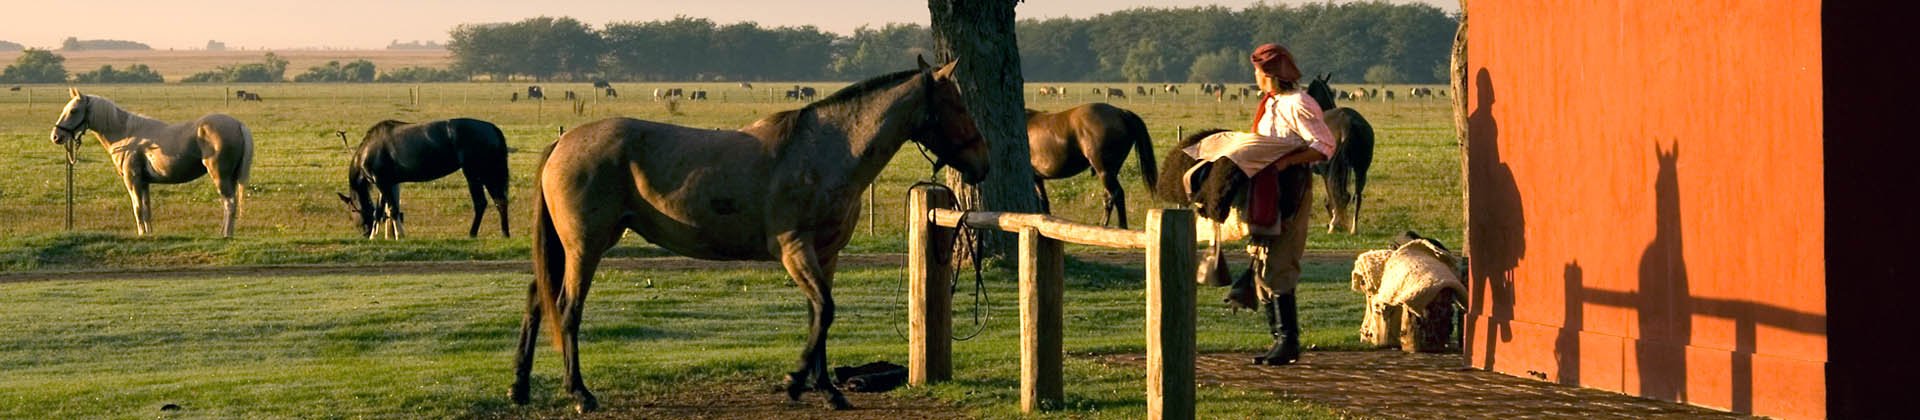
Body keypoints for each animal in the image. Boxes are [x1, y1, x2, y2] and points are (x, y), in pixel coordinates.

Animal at [49, 89, 255, 237]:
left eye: (74, 110)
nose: (56, 137)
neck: (126, 134)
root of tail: (238, 124)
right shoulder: (144, 183)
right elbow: (147, 209)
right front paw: (149, 234)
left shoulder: (132, 181)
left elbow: (137, 208)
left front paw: (141, 234)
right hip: (231, 178)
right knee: (231, 204)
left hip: (220, 176)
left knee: (229, 203)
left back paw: (226, 235)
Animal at [336, 117, 510, 237]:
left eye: (351, 211)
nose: (364, 234)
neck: (368, 150)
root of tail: (491, 128)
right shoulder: (386, 184)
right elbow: (380, 211)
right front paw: (374, 236)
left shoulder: (382, 183)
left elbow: (392, 209)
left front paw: (400, 236)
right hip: (489, 173)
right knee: (500, 201)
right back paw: (504, 234)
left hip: (475, 174)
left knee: (481, 203)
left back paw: (472, 233)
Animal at [514, 58, 990, 414]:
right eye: (957, 104)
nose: (983, 162)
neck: (825, 151)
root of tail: (562, 144)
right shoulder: (795, 250)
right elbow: (825, 310)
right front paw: (795, 381)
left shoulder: (827, 255)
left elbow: (820, 316)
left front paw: (826, 390)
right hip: (585, 247)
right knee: (567, 309)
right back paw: (580, 394)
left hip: (569, 248)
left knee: (537, 299)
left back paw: (520, 388)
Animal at [1021, 103, 1152, 230]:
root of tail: (1121, 113)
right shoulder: (1038, 178)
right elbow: (1044, 201)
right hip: (1111, 172)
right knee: (1109, 197)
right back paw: (1103, 224)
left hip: (1104, 171)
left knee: (1118, 194)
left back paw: (1122, 226)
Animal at [1305, 73, 1382, 234]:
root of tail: (1347, 123)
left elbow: (1330, 199)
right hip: (1360, 169)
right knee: (1356, 196)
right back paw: (1353, 228)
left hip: (1329, 169)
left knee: (1338, 196)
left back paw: (1334, 224)